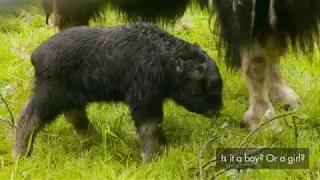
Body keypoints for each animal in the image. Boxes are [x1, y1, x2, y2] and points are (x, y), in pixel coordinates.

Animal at [11, 22, 222, 162]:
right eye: (198, 88)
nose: (217, 110)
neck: (162, 58)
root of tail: (36, 55)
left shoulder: (153, 100)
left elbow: (157, 124)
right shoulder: (143, 100)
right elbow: (149, 128)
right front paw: (151, 157)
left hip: (70, 97)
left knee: (75, 116)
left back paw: (91, 138)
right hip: (49, 96)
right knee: (28, 119)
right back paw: (20, 154)